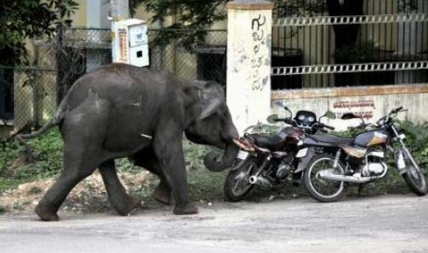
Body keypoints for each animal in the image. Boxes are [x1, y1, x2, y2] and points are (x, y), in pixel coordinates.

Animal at [18, 63, 239, 221]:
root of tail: (64, 103)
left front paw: (160, 199)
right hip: (88, 123)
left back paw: (130, 207)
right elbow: (165, 149)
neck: (188, 84)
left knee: (102, 163)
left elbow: (142, 156)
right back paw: (46, 216)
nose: (215, 156)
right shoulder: (170, 112)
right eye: (223, 114)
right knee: (79, 170)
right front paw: (190, 211)